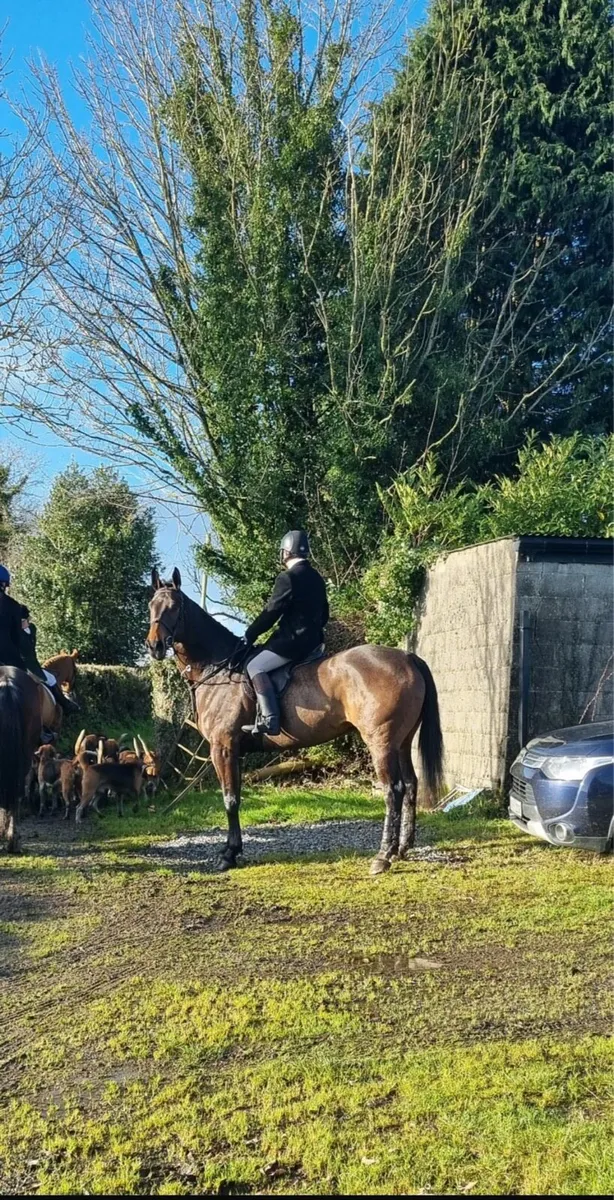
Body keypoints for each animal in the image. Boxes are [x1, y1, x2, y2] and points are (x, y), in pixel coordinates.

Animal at [147, 568, 444, 875]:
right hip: (402, 742)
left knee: (393, 790)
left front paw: (228, 855)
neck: (219, 668)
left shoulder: (223, 747)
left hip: (381, 742)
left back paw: (383, 856)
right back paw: (403, 848)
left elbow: (230, 799)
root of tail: (406, 656)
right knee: (410, 784)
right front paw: (233, 849)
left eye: (175, 607)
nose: (154, 646)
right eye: (151, 606)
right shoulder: (233, 751)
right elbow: (236, 796)